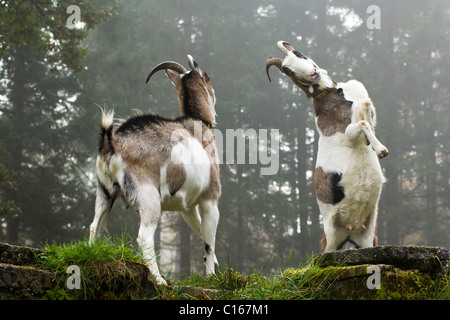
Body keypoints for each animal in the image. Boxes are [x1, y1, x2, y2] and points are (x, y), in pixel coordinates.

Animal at [89, 55, 220, 284]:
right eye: (207, 77)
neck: (198, 123)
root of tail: (112, 143)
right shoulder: (210, 198)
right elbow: (209, 242)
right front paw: (212, 276)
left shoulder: (187, 207)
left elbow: (200, 229)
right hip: (148, 194)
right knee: (144, 236)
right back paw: (158, 279)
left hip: (105, 192)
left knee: (95, 226)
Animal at [266, 41, 388, 252]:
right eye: (287, 70)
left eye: (299, 53)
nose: (313, 72)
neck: (335, 95)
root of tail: (350, 229)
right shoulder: (346, 134)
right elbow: (362, 123)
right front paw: (381, 150)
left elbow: (366, 107)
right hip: (330, 237)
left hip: (368, 234)